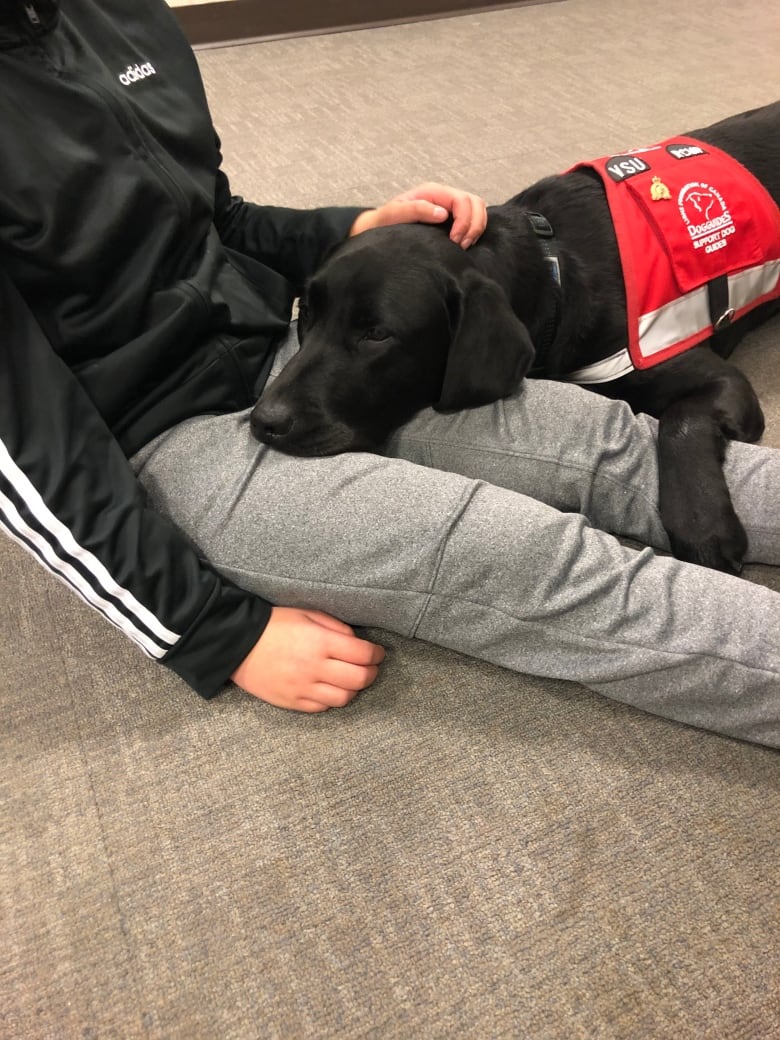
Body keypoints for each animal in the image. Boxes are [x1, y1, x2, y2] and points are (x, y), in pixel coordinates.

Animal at [251, 101, 780, 574]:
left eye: (377, 333)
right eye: (307, 312)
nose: (263, 420)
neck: (554, 273)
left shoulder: (711, 374)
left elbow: (680, 421)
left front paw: (702, 524)